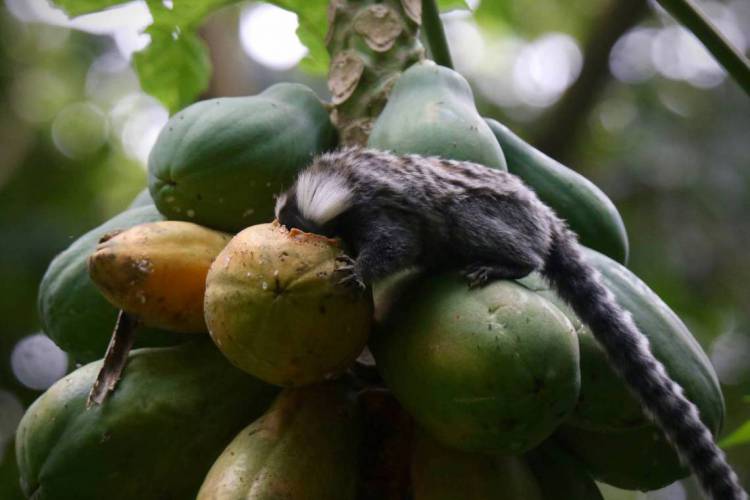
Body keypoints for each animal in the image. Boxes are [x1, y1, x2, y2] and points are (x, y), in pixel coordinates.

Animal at [274, 146, 748, 498]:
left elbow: (396, 243)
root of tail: (546, 216)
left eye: (309, 233)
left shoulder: (376, 206)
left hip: (503, 217)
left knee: (477, 224)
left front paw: (359, 271)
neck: (337, 180)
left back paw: (510, 263)